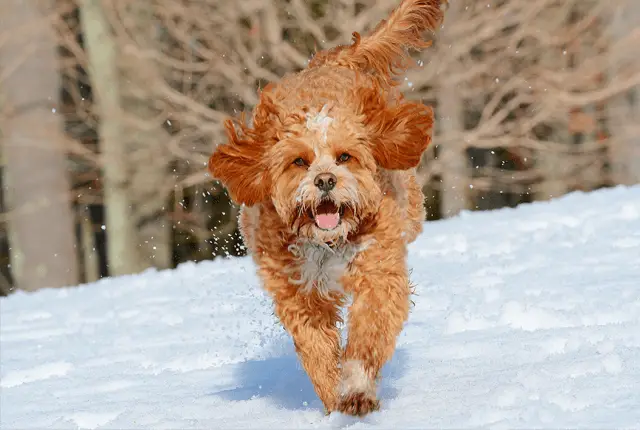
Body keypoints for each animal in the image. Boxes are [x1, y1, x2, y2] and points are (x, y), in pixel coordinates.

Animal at [210, 0, 444, 416]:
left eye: (344, 156)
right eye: (299, 162)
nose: (324, 181)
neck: (327, 243)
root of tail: (328, 63)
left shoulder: (377, 271)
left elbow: (369, 333)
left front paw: (357, 389)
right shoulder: (297, 292)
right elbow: (316, 350)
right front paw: (334, 395)